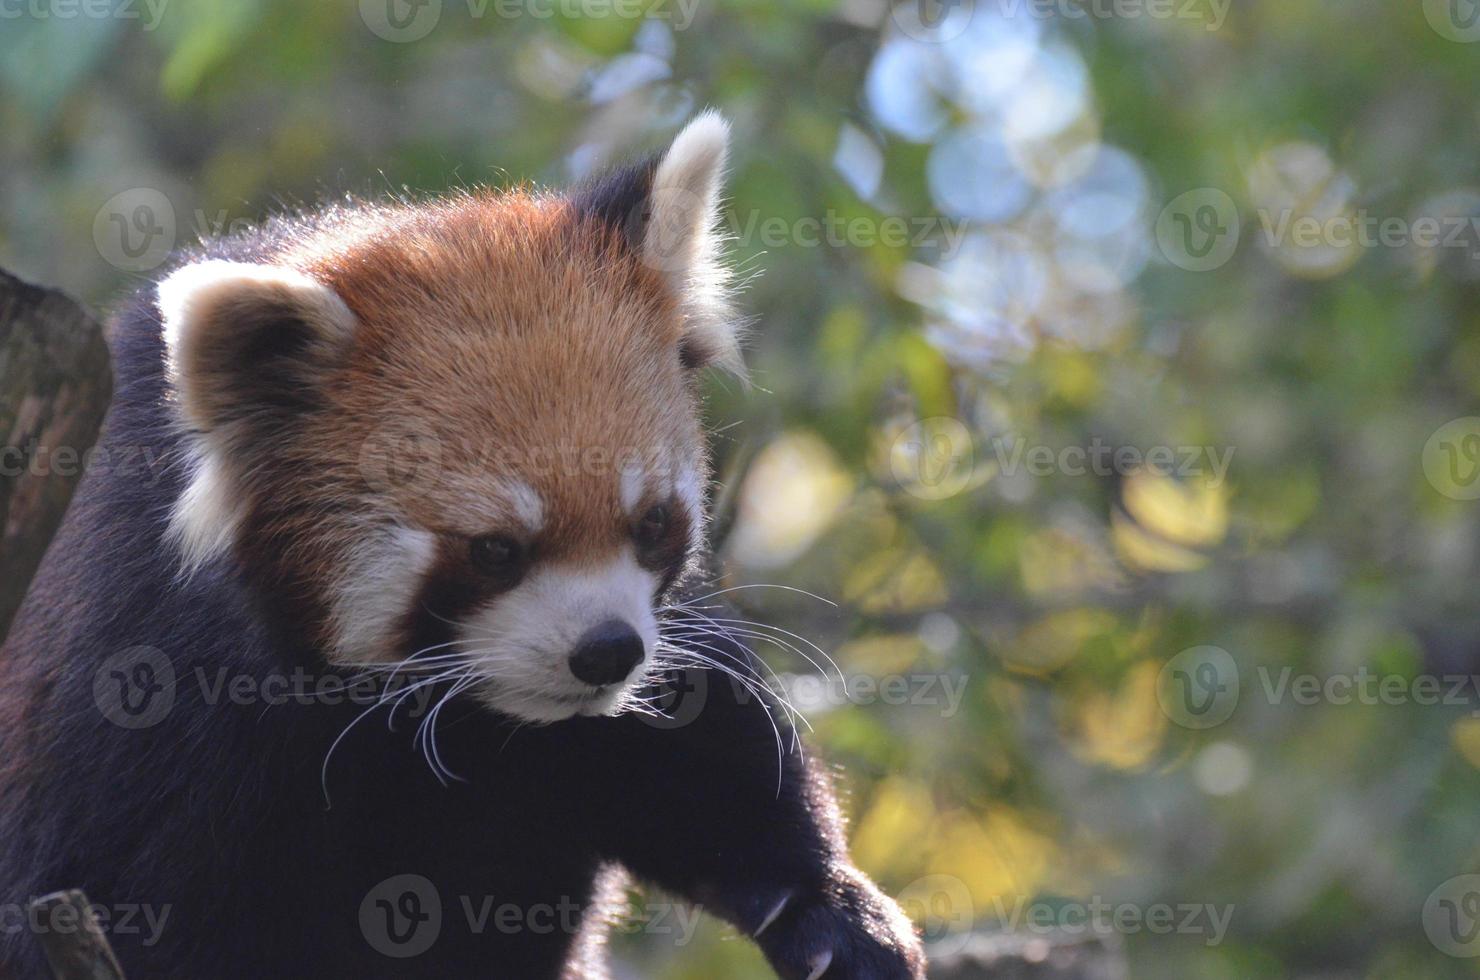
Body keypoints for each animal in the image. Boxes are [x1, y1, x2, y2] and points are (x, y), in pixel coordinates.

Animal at [0, 111, 923, 977]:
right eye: (495, 550)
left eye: (653, 522)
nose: (608, 652)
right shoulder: (140, 691)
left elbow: (707, 755)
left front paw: (830, 909)